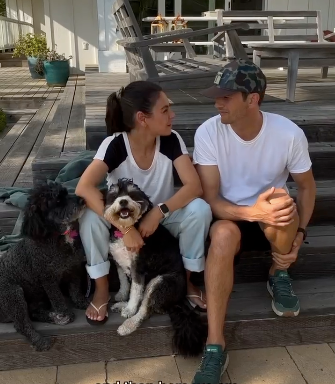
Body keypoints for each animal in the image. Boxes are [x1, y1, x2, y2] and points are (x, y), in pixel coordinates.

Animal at [0, 182, 89, 352]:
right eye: (57, 201)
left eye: (66, 193)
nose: (82, 200)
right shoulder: (48, 279)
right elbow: (58, 298)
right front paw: (64, 310)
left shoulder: (73, 268)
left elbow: (75, 289)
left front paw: (80, 301)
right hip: (14, 294)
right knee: (21, 324)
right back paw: (41, 339)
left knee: (33, 313)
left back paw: (55, 317)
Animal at [103, 179, 207, 356]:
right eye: (115, 195)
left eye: (132, 195)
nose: (123, 201)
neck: (129, 229)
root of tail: (178, 300)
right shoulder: (119, 261)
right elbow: (124, 282)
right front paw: (122, 296)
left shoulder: (138, 267)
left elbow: (135, 291)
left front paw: (130, 309)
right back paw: (122, 305)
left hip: (160, 282)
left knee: (145, 309)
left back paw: (128, 324)